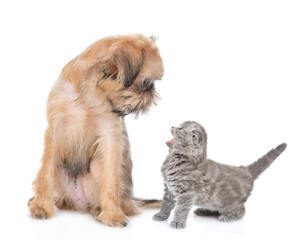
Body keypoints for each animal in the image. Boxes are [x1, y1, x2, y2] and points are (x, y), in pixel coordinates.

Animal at [27, 33, 165, 227]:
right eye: (146, 82)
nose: (152, 94)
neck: (90, 91)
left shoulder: (110, 136)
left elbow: (111, 178)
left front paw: (113, 215)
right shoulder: (55, 130)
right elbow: (46, 172)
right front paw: (41, 207)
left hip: (99, 169)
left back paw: (102, 211)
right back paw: (55, 202)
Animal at [155, 121, 288, 228]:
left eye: (180, 128)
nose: (172, 126)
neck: (175, 159)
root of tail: (246, 170)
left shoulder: (187, 193)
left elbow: (181, 209)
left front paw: (178, 222)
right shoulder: (169, 189)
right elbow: (166, 203)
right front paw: (161, 215)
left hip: (226, 201)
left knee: (242, 210)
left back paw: (228, 217)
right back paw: (203, 211)